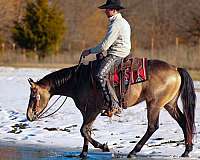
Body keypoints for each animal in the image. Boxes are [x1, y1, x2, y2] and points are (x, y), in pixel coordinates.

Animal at [25, 58, 196, 158]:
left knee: (152, 126)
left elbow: (83, 130)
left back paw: (133, 152)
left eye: (34, 96)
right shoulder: (86, 111)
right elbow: (86, 131)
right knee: (184, 121)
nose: (29, 116)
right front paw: (83, 153)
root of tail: (176, 69)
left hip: (154, 104)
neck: (77, 80)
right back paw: (187, 150)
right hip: (169, 104)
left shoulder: (93, 110)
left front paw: (103, 147)